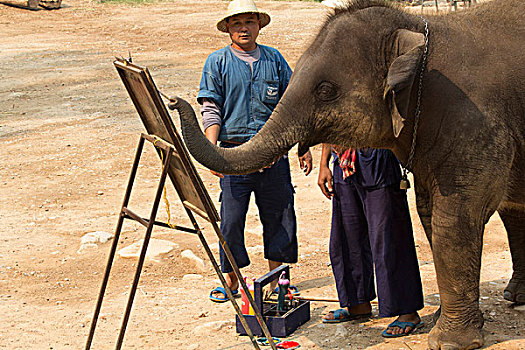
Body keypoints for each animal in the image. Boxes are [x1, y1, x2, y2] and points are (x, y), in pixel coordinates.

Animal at [174, 0, 520, 350]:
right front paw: (443, 323)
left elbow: (454, 221)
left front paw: (447, 342)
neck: (419, 31)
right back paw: (514, 296)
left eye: (326, 90)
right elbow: (429, 214)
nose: (175, 101)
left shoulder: (476, 126)